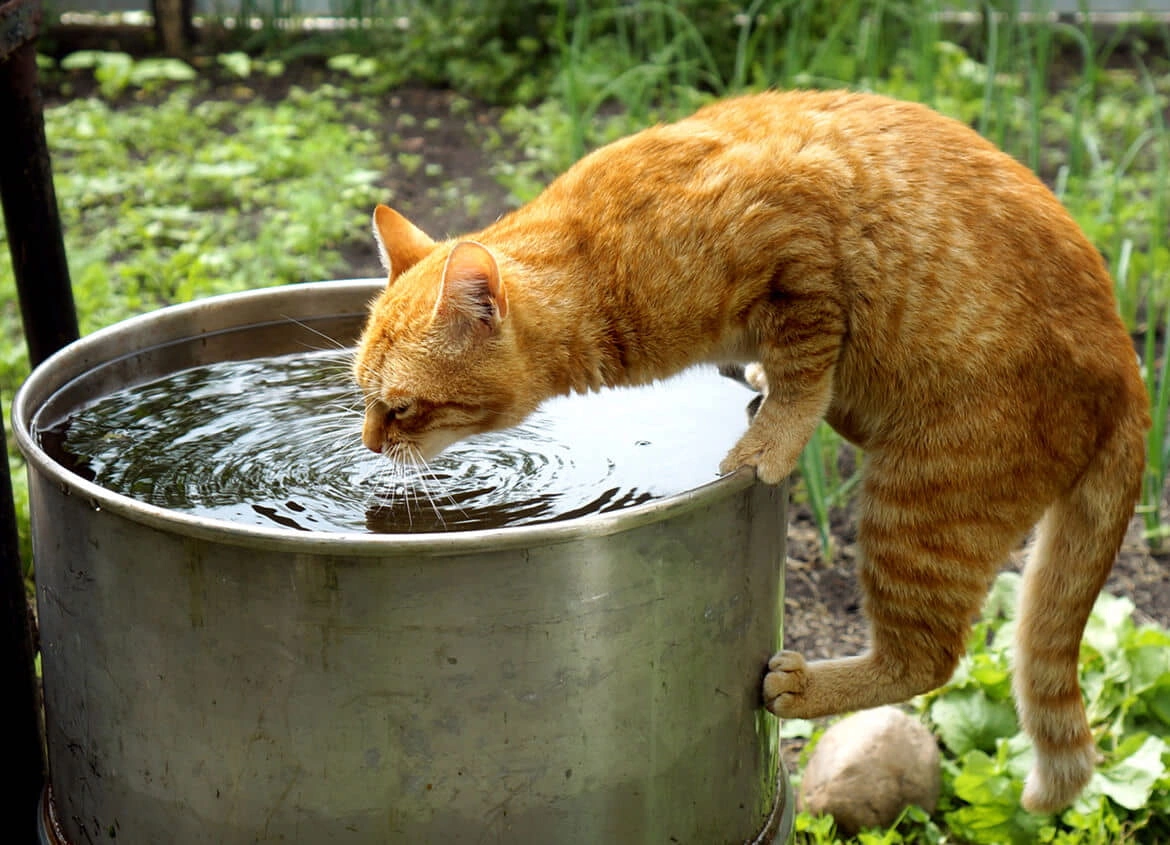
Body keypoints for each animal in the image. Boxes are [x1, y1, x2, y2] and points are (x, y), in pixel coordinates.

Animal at [353, 87, 1151, 809]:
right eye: (362, 394)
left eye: (400, 407)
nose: (366, 442)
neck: (597, 261)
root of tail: (1130, 365)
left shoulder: (799, 250)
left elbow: (805, 364)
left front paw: (773, 434)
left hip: (922, 504)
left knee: (928, 660)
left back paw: (808, 685)